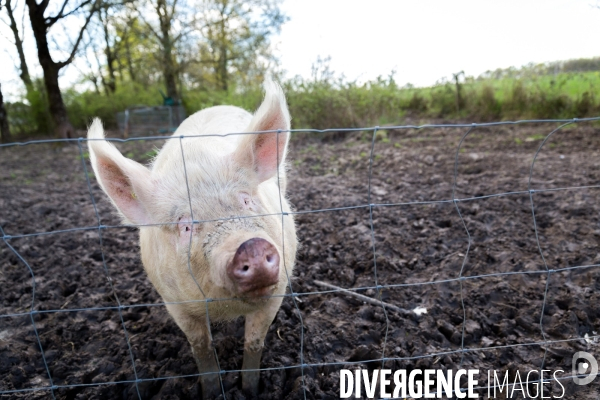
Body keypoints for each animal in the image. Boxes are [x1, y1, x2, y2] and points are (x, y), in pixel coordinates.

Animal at [86, 79, 298, 398]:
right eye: (184, 226)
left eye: (247, 200)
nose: (250, 246)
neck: (226, 307)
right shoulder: (174, 303)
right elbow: (201, 348)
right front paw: (210, 392)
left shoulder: (278, 289)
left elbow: (254, 343)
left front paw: (249, 390)